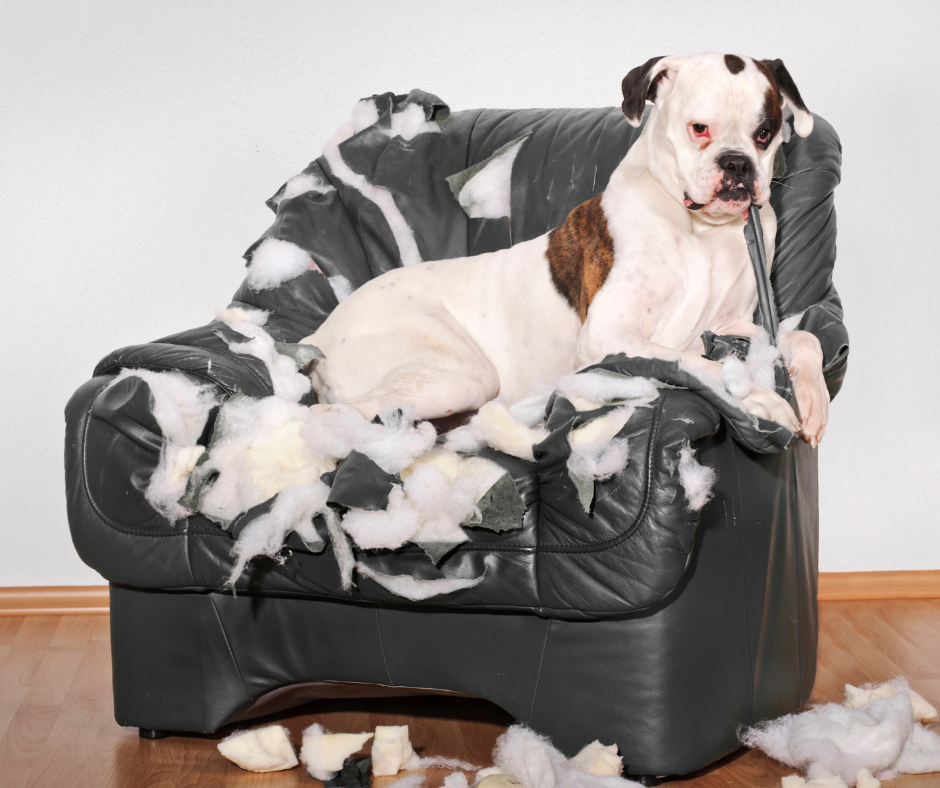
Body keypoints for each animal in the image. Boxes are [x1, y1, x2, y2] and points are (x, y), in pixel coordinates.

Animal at [302, 53, 830, 448]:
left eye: (765, 133)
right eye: (699, 127)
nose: (738, 165)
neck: (701, 231)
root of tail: (320, 335)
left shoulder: (738, 322)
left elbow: (804, 337)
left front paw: (811, 397)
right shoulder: (610, 334)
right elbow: (703, 364)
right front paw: (762, 400)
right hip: (459, 372)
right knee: (337, 414)